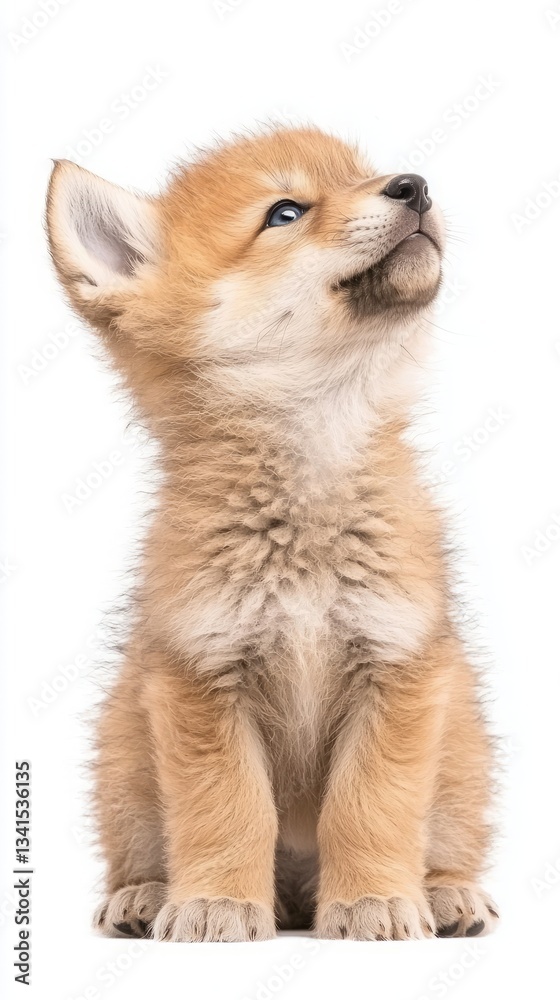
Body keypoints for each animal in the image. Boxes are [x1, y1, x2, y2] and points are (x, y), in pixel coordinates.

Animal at [46, 126, 499, 942]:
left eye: (362, 174)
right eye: (285, 212)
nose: (414, 185)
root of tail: (295, 892)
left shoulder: (398, 663)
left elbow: (369, 806)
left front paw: (373, 899)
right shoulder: (203, 673)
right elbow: (228, 809)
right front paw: (218, 902)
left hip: (462, 755)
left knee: (447, 838)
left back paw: (447, 893)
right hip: (124, 762)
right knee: (143, 847)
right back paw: (148, 894)